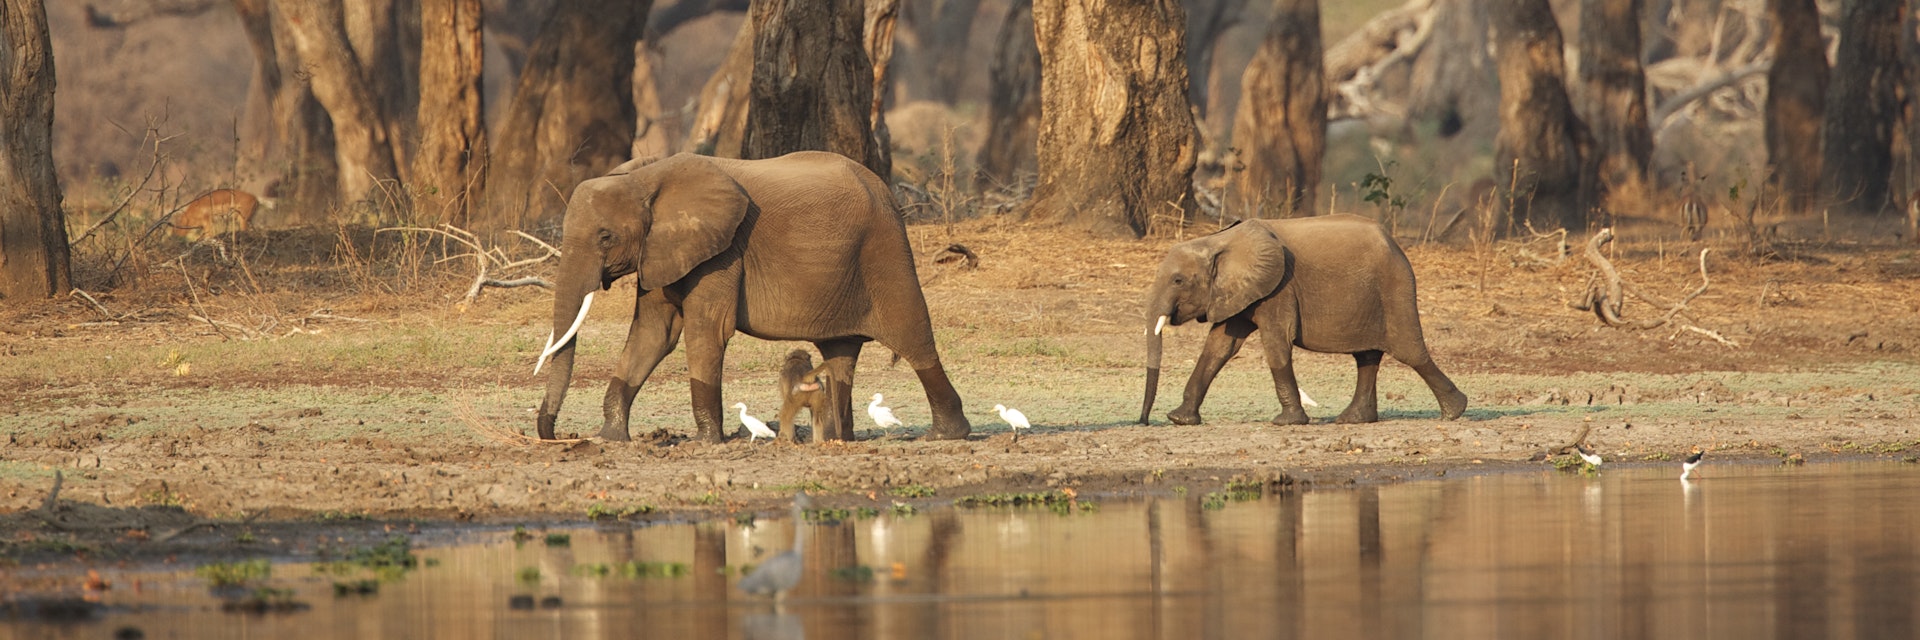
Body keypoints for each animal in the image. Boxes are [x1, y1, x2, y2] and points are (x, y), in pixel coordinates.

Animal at [533, 151, 971, 443]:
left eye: (605, 237)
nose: (553, 434)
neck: (644, 177)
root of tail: (887, 192)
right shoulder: (661, 250)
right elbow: (653, 333)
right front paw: (611, 438)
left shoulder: (723, 253)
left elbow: (706, 331)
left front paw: (706, 443)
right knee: (839, 353)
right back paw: (835, 439)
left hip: (886, 253)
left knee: (914, 338)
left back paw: (947, 435)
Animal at [1138, 214, 1467, 426]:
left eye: (1178, 280)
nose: (1144, 421)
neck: (1218, 240)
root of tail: (1395, 243)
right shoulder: (1240, 291)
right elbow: (1219, 347)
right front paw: (1180, 419)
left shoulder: (1278, 288)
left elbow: (1276, 343)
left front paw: (1287, 423)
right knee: (1367, 357)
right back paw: (1352, 420)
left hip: (1395, 287)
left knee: (1409, 352)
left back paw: (1455, 412)